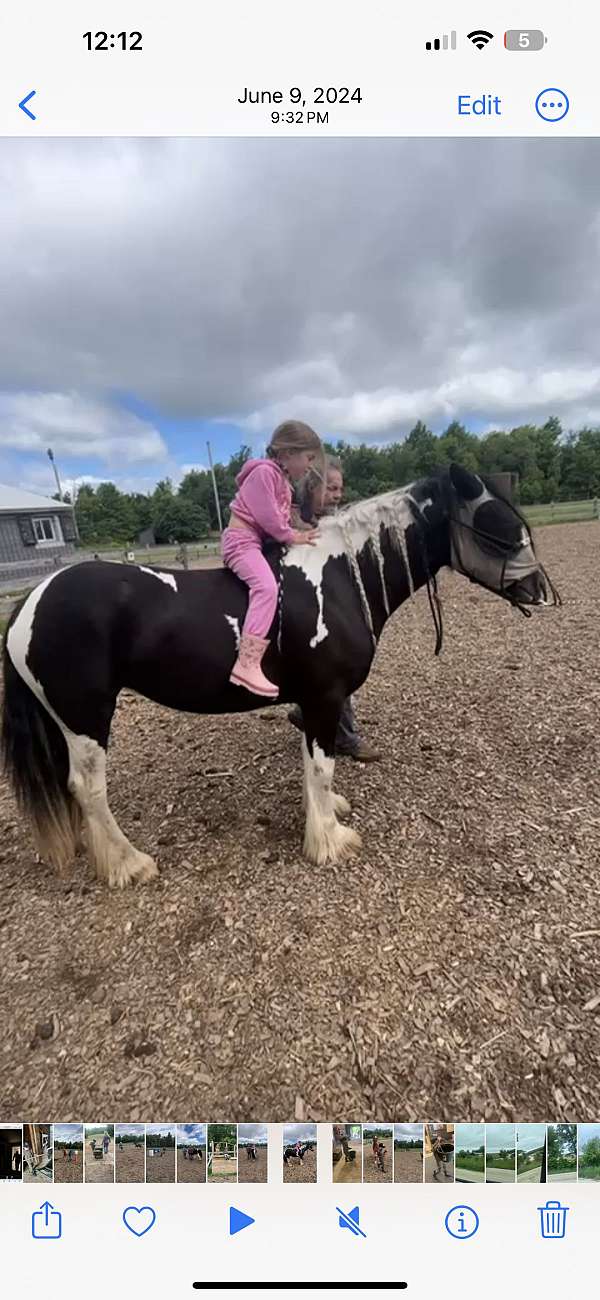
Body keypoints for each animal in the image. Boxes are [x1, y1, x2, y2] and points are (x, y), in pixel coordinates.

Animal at [0, 462, 555, 889]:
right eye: (497, 527)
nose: (539, 590)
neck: (338, 579)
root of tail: (31, 600)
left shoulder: (314, 701)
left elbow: (314, 766)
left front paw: (328, 813)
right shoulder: (324, 696)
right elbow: (322, 766)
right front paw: (329, 841)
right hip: (87, 717)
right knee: (88, 788)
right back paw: (128, 864)